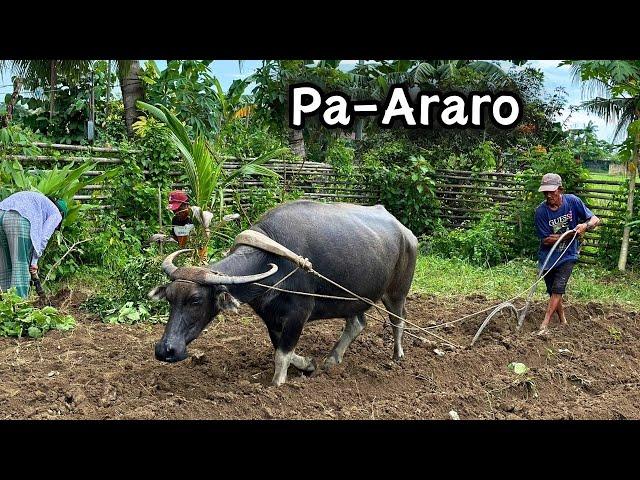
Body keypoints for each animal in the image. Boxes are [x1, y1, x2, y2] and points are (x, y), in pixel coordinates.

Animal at [150, 199, 420, 386]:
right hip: (354, 297)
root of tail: (407, 234)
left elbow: (282, 354)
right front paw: (308, 364)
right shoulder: (270, 316)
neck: (272, 259)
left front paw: (277, 384)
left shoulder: (299, 313)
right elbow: (279, 348)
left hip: (397, 292)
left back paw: (397, 355)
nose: (165, 350)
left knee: (398, 320)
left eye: (196, 300)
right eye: (170, 299)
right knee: (357, 323)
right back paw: (332, 360)